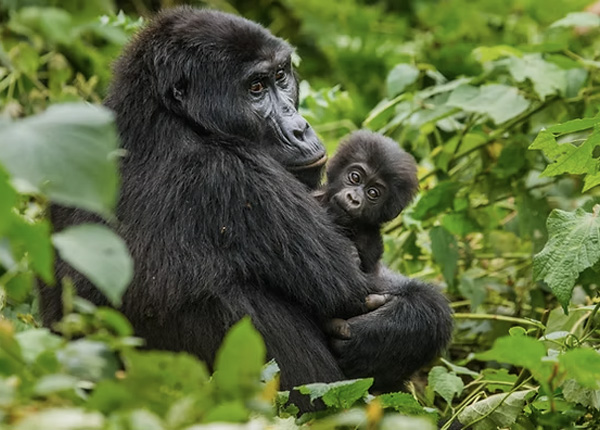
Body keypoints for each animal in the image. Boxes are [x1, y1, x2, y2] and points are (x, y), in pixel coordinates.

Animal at [39, 6, 452, 410]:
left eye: (281, 76)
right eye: (255, 88)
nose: (300, 128)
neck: (164, 115)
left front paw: (398, 327)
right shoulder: (238, 175)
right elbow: (353, 290)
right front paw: (402, 326)